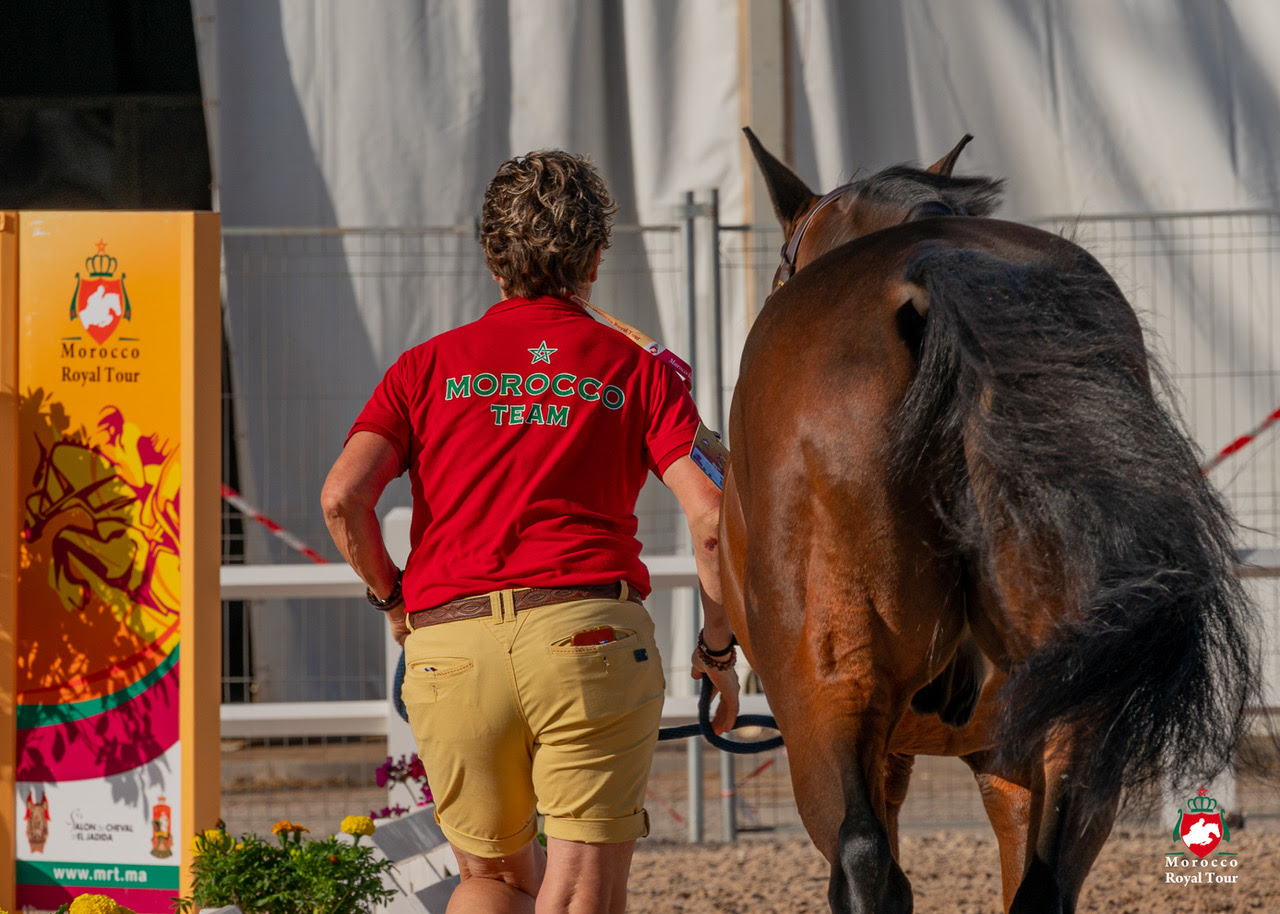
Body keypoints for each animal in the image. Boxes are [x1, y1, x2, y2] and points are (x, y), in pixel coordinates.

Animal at [721, 128, 1259, 911]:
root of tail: (936, 266)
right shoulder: (1000, 755)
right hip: (1074, 713)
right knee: (1047, 877)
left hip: (826, 701)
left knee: (863, 857)